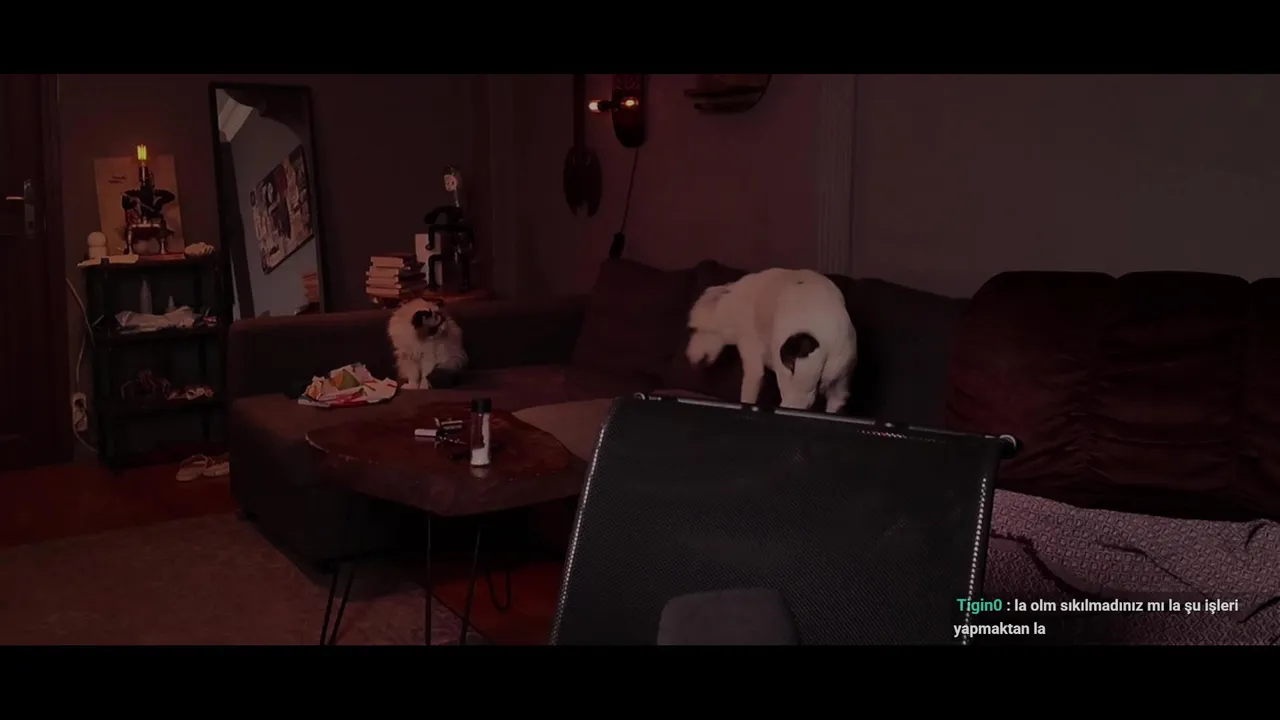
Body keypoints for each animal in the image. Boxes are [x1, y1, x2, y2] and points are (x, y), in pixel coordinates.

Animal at [687, 268, 856, 413]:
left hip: (794, 387)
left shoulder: (753, 367)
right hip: (839, 390)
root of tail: (834, 338)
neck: (731, 303)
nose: (687, 356)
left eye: (694, 329)